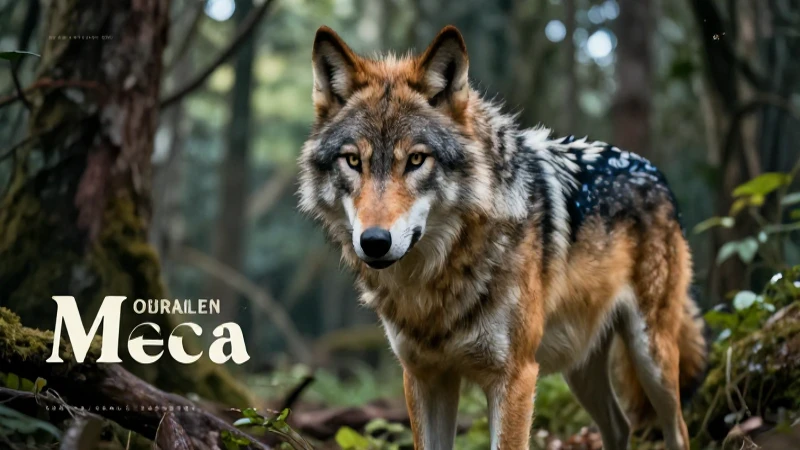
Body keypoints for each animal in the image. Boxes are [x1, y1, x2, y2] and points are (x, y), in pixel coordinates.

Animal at [298, 25, 707, 450]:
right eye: (353, 161)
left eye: (416, 160)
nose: (374, 241)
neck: (437, 283)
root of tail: (654, 172)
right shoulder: (425, 377)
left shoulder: (514, 377)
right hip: (580, 367)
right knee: (620, 425)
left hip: (651, 355)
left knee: (678, 427)